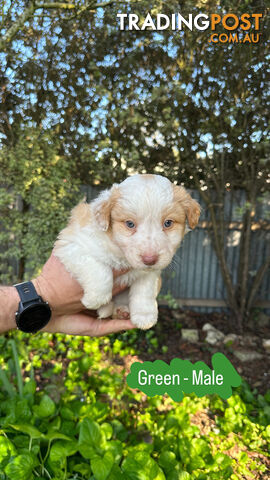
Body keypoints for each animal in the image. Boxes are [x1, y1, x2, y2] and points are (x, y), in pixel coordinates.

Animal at [53, 175, 199, 330]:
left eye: (168, 223)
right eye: (130, 224)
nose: (149, 259)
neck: (121, 254)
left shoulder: (149, 273)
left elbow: (144, 291)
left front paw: (144, 316)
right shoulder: (70, 245)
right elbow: (99, 269)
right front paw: (95, 299)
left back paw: (121, 311)